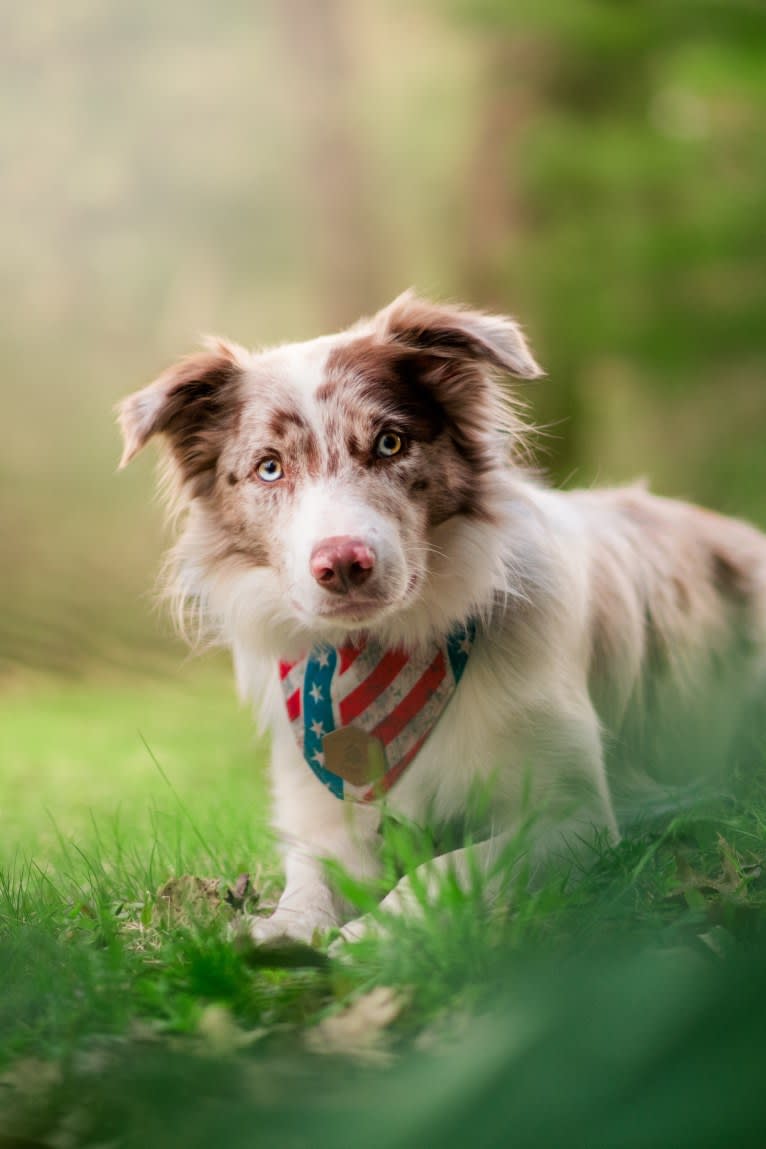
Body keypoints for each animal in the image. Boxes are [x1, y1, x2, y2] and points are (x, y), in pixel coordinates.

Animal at [118, 294, 766, 942]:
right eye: (269, 468)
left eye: (389, 444)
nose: (343, 564)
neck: (381, 651)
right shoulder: (322, 821)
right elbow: (309, 887)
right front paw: (280, 935)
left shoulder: (572, 816)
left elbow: (441, 870)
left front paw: (362, 941)